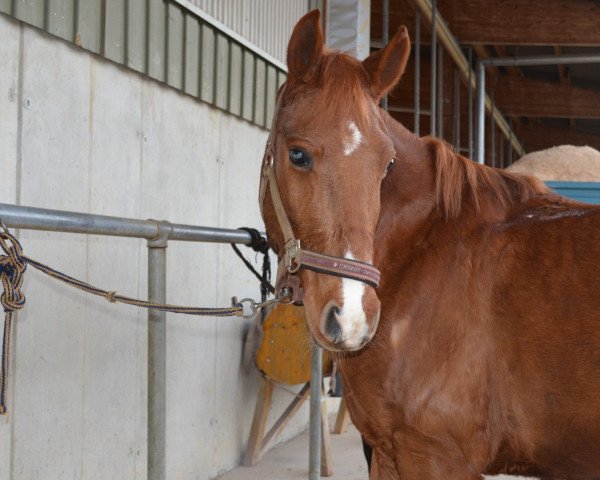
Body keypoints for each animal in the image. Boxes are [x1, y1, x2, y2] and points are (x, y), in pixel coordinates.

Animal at [260, 9, 600, 478]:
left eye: (386, 165)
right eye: (297, 154)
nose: (351, 319)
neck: (423, 254)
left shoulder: (434, 456)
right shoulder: (387, 453)